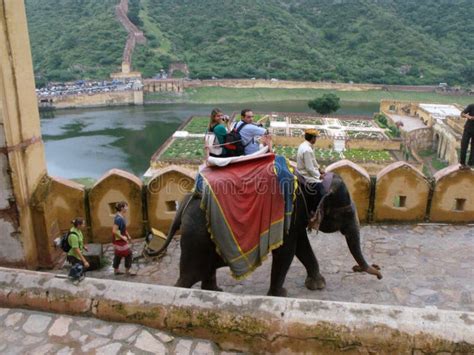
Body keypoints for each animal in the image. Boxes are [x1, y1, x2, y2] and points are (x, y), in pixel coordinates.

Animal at [150, 172, 384, 298]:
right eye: (347, 213)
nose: (380, 272)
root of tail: (183, 203)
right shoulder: (290, 211)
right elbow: (287, 250)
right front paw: (281, 295)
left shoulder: (297, 216)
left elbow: (301, 246)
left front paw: (317, 285)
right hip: (196, 237)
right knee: (189, 275)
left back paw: (216, 292)